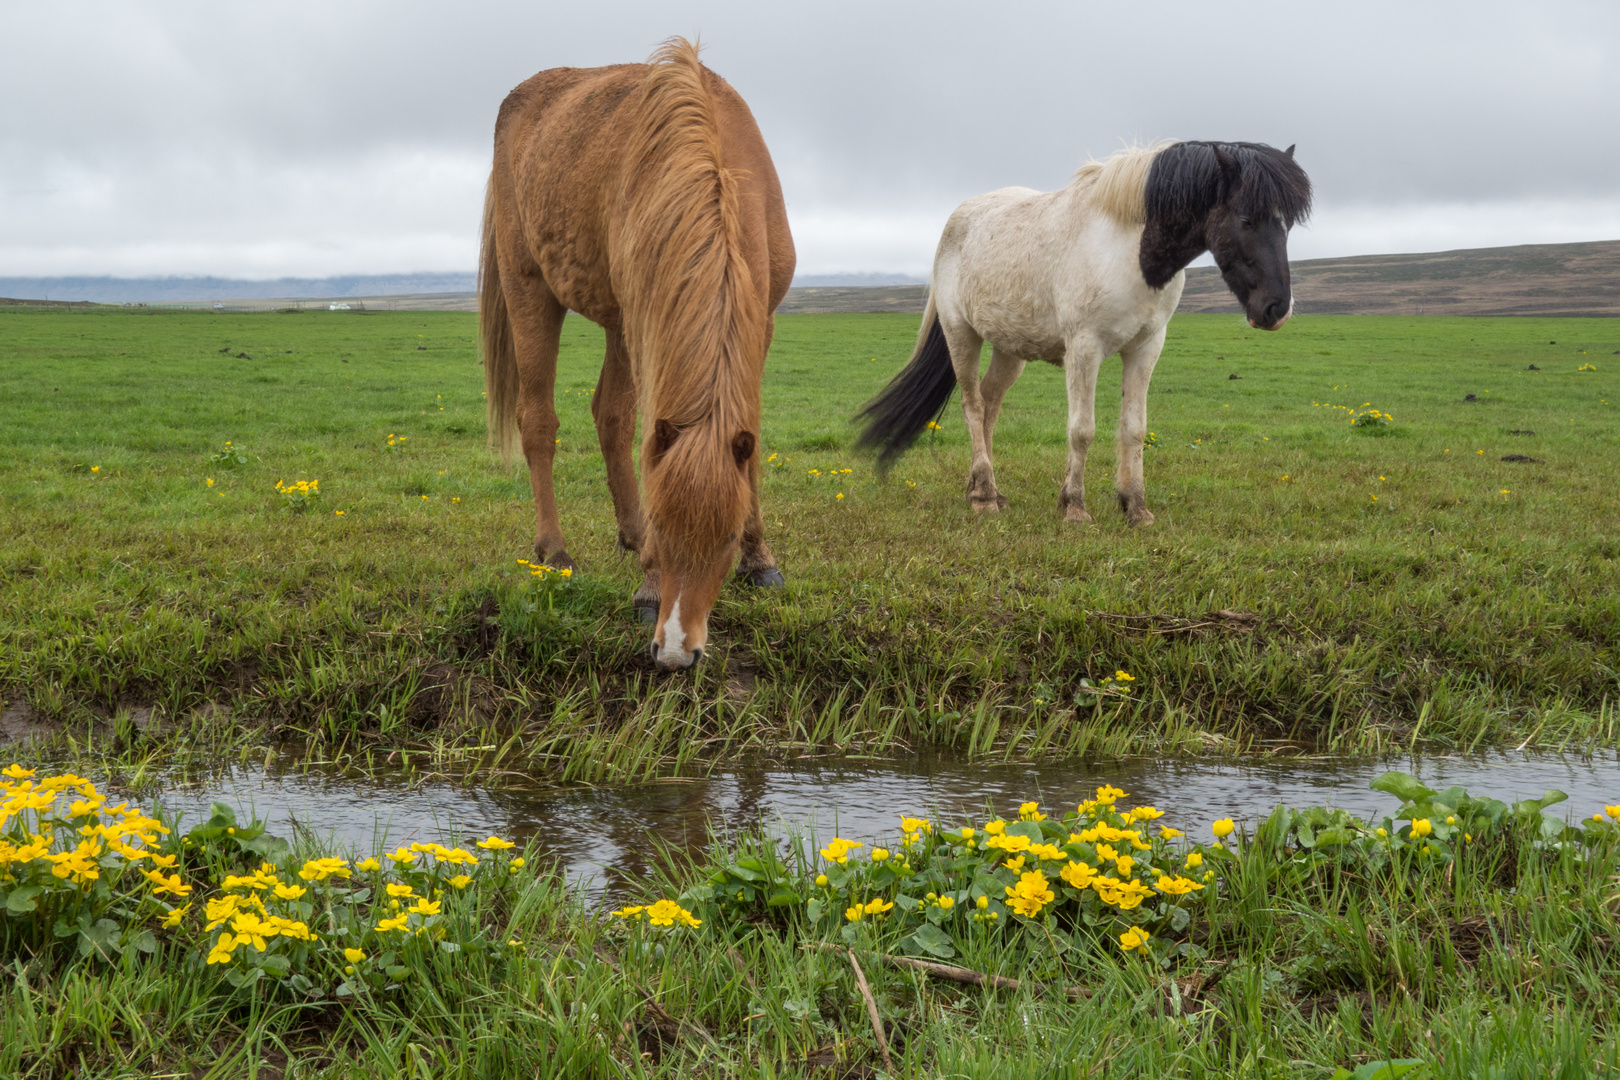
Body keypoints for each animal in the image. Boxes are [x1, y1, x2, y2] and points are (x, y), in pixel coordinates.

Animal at [476, 38, 793, 670]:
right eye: (665, 526)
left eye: (726, 538)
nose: (675, 651)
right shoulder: (647, 325)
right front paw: (648, 581)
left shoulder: (760, 321)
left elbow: (746, 444)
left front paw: (760, 557)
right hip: (531, 291)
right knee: (538, 420)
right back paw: (555, 550)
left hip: (615, 322)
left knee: (609, 415)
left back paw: (625, 532)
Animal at [855, 139, 1308, 527]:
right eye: (1246, 219)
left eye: (1286, 225)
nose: (1276, 309)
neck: (1129, 247)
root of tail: (959, 217)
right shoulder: (1084, 348)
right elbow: (1082, 429)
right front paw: (1074, 507)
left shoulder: (1146, 348)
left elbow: (1134, 428)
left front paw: (1135, 508)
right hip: (960, 334)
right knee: (973, 405)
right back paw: (983, 496)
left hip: (1010, 349)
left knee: (990, 404)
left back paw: (985, 489)